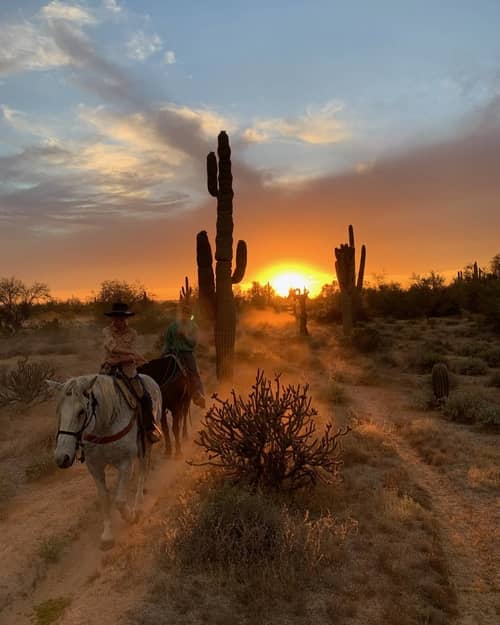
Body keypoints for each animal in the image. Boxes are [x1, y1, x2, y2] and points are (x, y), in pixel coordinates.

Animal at [46, 372, 160, 548]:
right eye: (59, 412)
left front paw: (131, 516)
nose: (62, 458)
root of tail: (148, 377)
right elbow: (104, 499)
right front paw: (107, 535)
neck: (104, 426)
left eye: (81, 411)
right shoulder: (95, 468)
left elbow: (119, 500)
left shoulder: (125, 463)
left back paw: (138, 503)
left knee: (143, 469)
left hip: (145, 443)